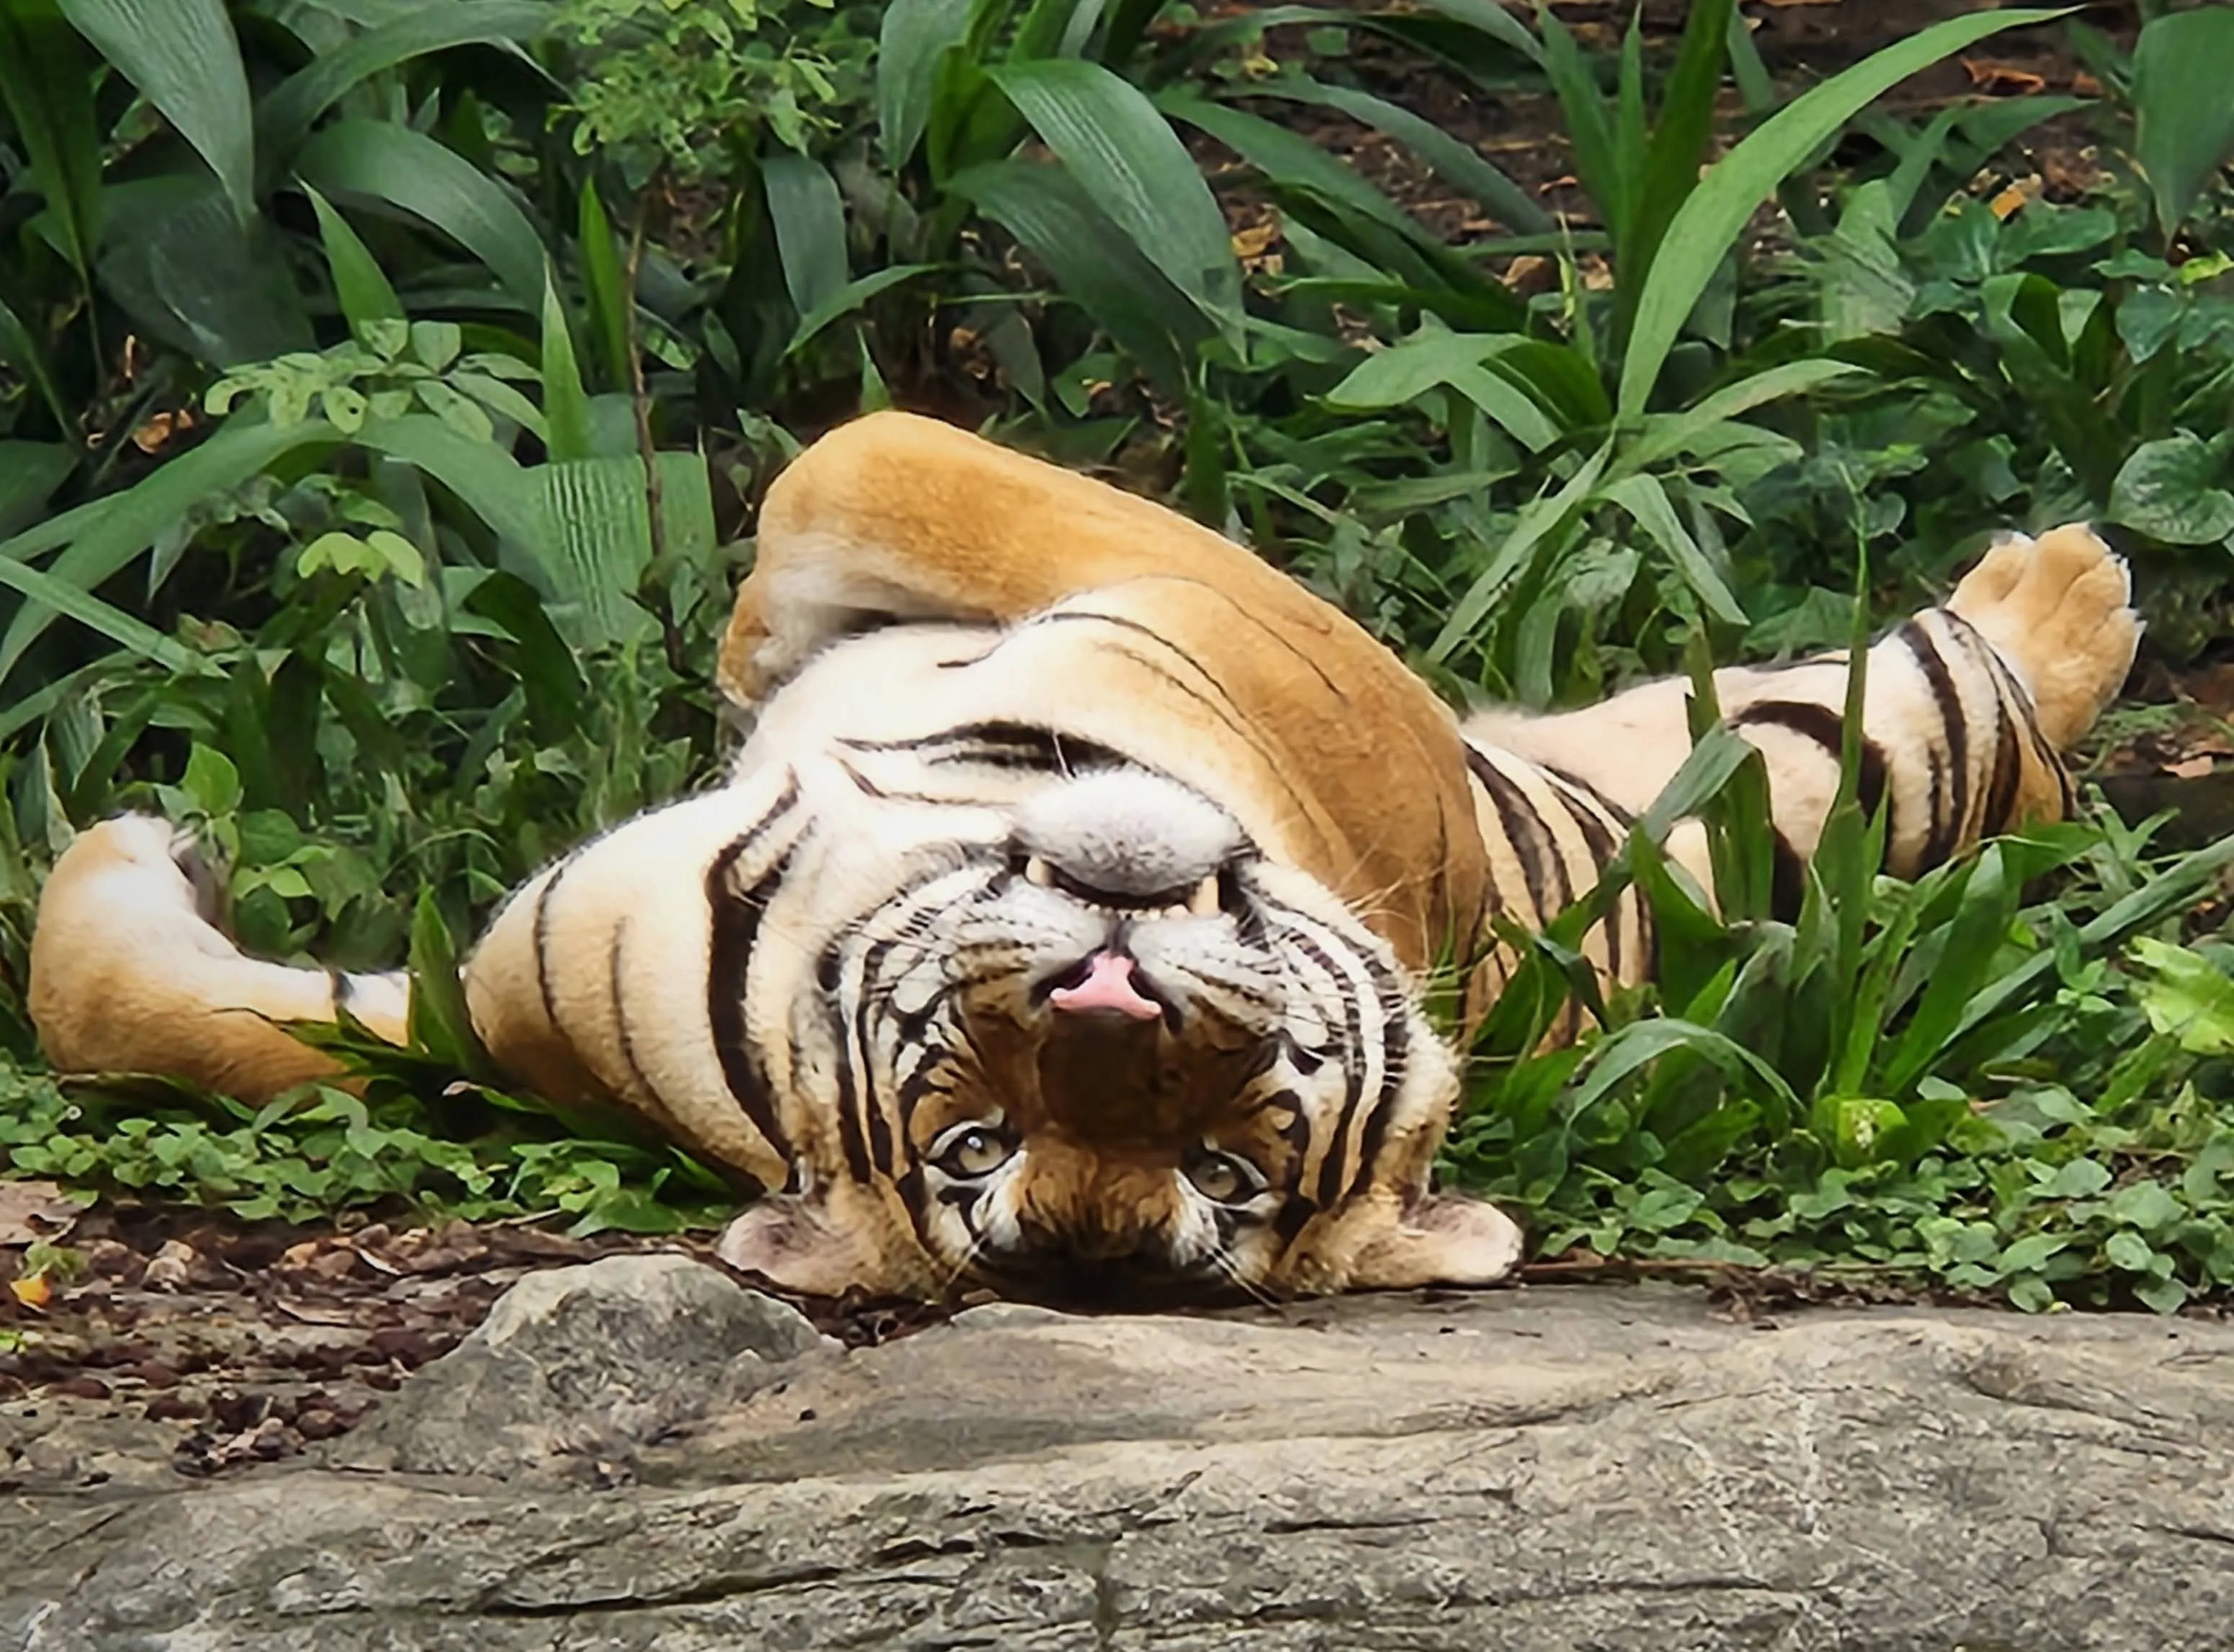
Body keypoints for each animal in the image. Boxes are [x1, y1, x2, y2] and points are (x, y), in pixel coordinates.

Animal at [25, 411, 2141, 1304]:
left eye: (1232, 1155)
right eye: (978, 1140)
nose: (1115, 988)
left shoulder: (1234, 621)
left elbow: (857, 464)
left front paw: (753, 646)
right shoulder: (495, 994)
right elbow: (137, 1010)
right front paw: (138, 849)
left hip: (1777, 785)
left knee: (1976, 727)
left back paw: (2070, 584)